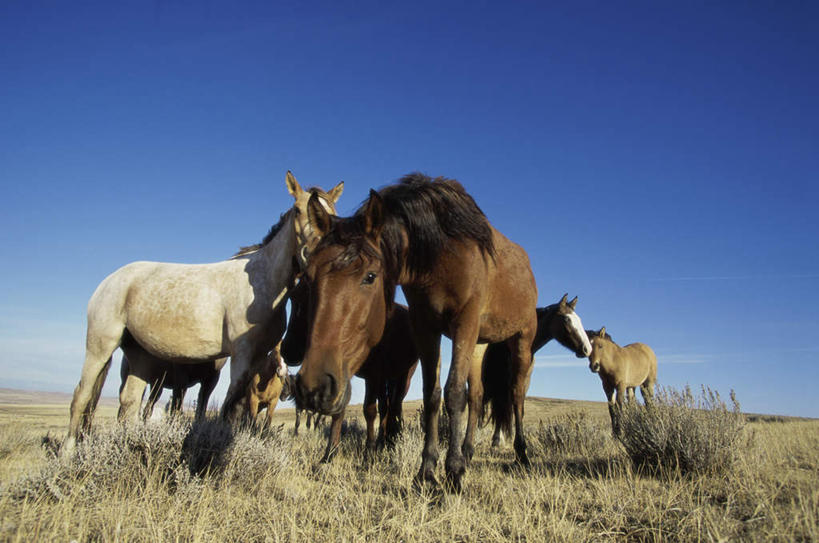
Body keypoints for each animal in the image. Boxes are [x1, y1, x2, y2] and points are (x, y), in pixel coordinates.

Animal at [61, 173, 342, 454]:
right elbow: (231, 408)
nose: (313, 254)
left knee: (129, 402)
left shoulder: (256, 358)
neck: (263, 281)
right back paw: (68, 452)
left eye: (334, 216)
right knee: (81, 396)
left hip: (139, 354)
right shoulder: (241, 356)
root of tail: (112, 279)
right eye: (297, 210)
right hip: (100, 346)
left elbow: (240, 410)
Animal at [284, 280, 422, 464]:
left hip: (403, 377)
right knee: (387, 406)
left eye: (306, 299)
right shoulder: (345, 374)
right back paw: (384, 439)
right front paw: (330, 453)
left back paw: (392, 438)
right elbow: (339, 410)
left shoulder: (374, 375)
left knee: (395, 405)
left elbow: (370, 411)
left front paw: (369, 452)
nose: (287, 350)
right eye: (292, 297)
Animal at [478, 296, 592, 448]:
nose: (588, 349)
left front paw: (500, 440)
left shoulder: (521, 384)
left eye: (579, 319)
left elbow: (515, 409)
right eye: (567, 319)